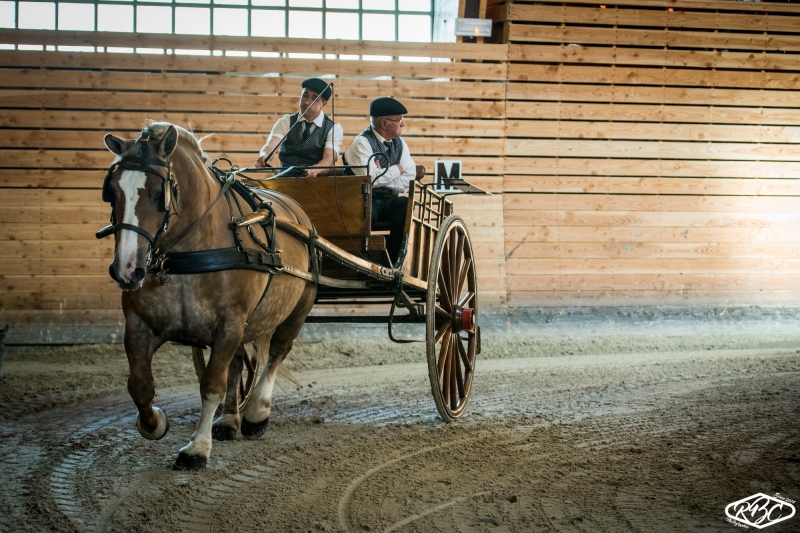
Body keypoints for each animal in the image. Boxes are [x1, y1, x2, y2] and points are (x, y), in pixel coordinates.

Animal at [97, 121, 316, 470]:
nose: (127, 269)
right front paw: (154, 423)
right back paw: (229, 419)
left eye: (159, 194)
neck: (190, 252)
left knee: (278, 351)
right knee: (239, 363)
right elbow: (140, 385)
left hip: (298, 307)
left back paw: (256, 412)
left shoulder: (229, 325)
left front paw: (197, 448)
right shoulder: (139, 325)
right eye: (111, 192)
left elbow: (212, 384)